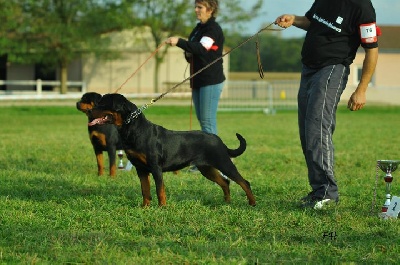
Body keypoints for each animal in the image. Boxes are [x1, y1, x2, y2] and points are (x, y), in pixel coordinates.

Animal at [88, 93, 256, 206]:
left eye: (102, 104)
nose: (89, 112)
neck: (134, 128)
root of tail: (219, 140)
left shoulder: (155, 167)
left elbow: (159, 189)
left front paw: (162, 207)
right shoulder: (141, 169)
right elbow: (145, 190)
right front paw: (145, 207)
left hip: (223, 163)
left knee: (243, 182)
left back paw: (252, 203)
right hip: (206, 168)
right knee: (225, 182)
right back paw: (227, 202)